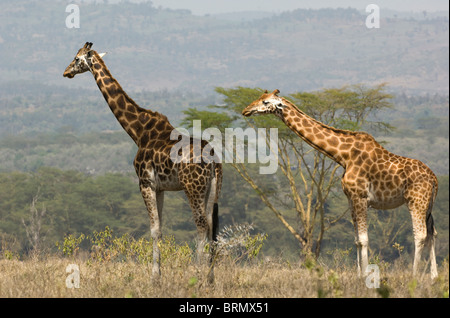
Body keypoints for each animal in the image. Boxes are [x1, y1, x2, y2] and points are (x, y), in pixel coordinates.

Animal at [63, 42, 223, 284]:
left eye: (76, 58)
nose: (66, 72)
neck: (139, 132)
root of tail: (214, 160)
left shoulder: (144, 182)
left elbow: (154, 229)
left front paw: (154, 278)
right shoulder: (160, 187)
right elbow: (161, 228)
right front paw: (159, 275)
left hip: (192, 187)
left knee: (201, 225)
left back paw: (198, 276)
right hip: (212, 188)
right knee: (212, 226)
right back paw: (211, 279)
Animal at [243, 89, 440, 278]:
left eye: (265, 102)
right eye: (260, 97)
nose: (246, 110)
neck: (343, 155)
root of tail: (435, 179)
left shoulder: (360, 197)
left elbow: (364, 239)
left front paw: (366, 276)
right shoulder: (351, 199)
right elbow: (357, 240)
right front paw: (359, 274)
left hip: (416, 201)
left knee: (420, 235)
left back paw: (414, 275)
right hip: (428, 205)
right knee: (432, 233)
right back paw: (433, 276)